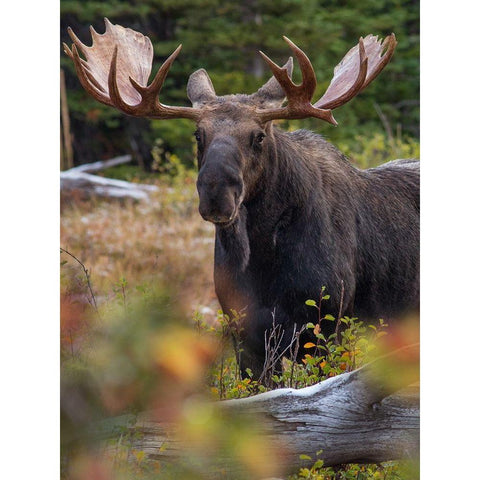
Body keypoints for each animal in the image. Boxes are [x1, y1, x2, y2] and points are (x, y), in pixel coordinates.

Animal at [64, 19, 420, 382]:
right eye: (198, 135)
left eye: (259, 136)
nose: (216, 195)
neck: (264, 259)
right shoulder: (244, 333)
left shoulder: (326, 327)